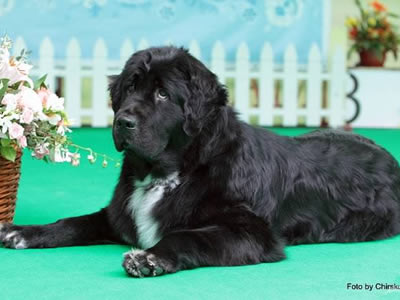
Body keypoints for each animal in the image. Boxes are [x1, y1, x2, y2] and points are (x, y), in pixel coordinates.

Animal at [0, 45, 400, 278]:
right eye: (130, 87)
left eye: (163, 94)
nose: (123, 122)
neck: (171, 172)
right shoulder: (118, 213)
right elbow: (73, 222)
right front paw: (23, 232)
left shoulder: (252, 231)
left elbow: (188, 236)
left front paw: (150, 258)